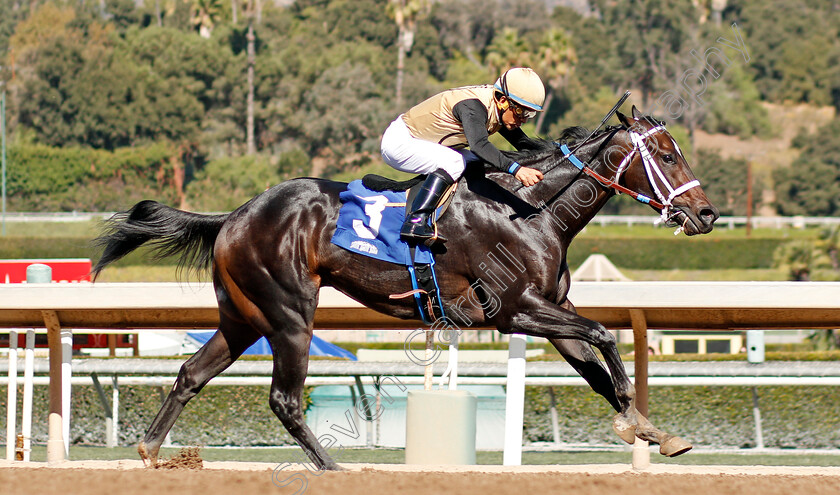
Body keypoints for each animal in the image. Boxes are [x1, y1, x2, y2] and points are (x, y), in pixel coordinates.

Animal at [93, 107, 720, 468]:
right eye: (667, 154)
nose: (706, 214)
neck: (529, 210)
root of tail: (235, 215)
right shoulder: (514, 310)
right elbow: (605, 336)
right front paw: (637, 424)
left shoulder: (548, 307)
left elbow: (595, 362)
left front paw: (651, 429)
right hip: (290, 314)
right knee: (285, 399)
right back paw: (336, 471)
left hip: (243, 317)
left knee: (191, 374)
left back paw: (150, 451)